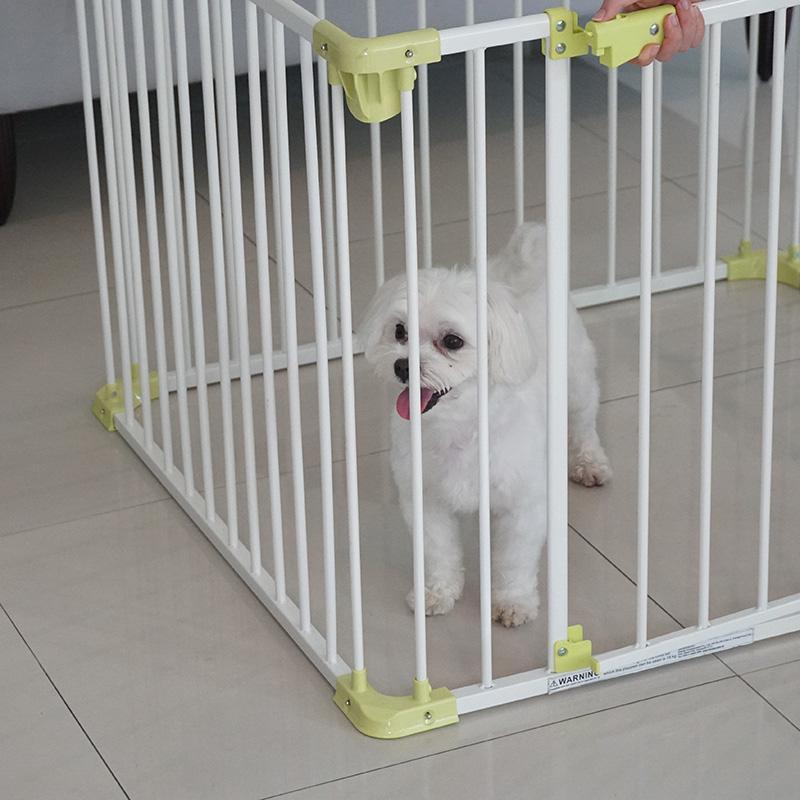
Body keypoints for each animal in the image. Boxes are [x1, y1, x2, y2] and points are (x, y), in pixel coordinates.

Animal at [359, 222, 611, 627]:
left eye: (453, 341)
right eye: (399, 331)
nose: (402, 366)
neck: (461, 424)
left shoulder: (523, 505)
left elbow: (514, 559)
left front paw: (513, 602)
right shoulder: (426, 498)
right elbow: (438, 551)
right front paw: (437, 592)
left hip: (576, 380)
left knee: (583, 421)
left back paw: (589, 463)